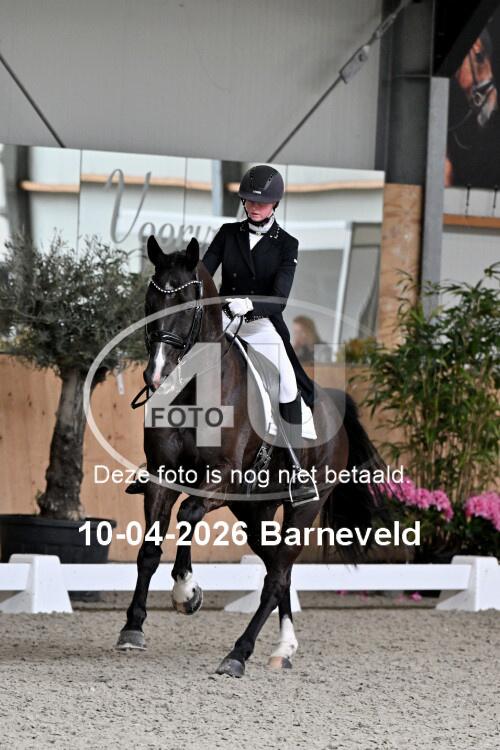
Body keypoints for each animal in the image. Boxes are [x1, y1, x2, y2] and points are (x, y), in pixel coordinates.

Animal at [116, 234, 386, 677]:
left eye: (186, 305)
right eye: (149, 302)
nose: (155, 376)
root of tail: (335, 408)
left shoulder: (221, 477)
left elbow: (188, 514)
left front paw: (187, 592)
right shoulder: (161, 476)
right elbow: (149, 551)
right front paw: (133, 628)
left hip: (303, 507)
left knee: (276, 575)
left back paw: (238, 653)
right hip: (254, 510)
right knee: (280, 569)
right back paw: (283, 648)